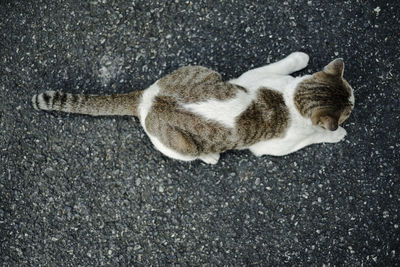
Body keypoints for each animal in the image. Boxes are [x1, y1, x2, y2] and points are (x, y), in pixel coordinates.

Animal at [32, 51, 354, 165]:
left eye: (349, 91)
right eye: (350, 106)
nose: (355, 100)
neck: (290, 99)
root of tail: (146, 98)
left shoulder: (253, 77)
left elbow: (281, 63)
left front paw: (299, 58)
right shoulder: (272, 147)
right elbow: (312, 139)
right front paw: (336, 135)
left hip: (200, 70)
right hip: (180, 146)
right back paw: (210, 155)